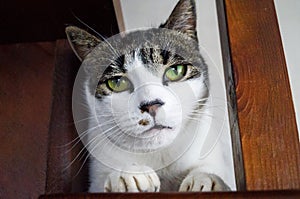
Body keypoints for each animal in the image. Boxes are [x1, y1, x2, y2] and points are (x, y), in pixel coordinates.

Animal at [67, 0, 232, 192]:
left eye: (175, 71)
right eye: (117, 82)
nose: (151, 104)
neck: (160, 155)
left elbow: (210, 170)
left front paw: (205, 179)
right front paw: (129, 174)